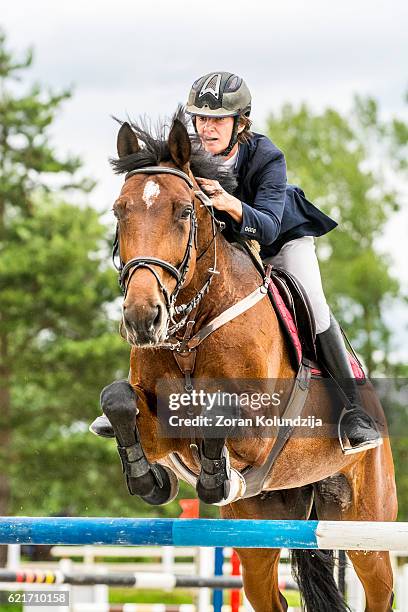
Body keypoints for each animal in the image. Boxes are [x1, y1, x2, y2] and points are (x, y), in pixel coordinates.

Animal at [102, 110, 398, 612]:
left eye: (184, 211)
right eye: (120, 211)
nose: (143, 318)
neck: (191, 331)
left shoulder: (259, 429)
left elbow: (214, 415)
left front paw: (213, 477)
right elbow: (118, 400)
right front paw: (150, 479)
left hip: (365, 527)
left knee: (380, 591)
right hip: (264, 525)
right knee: (270, 596)